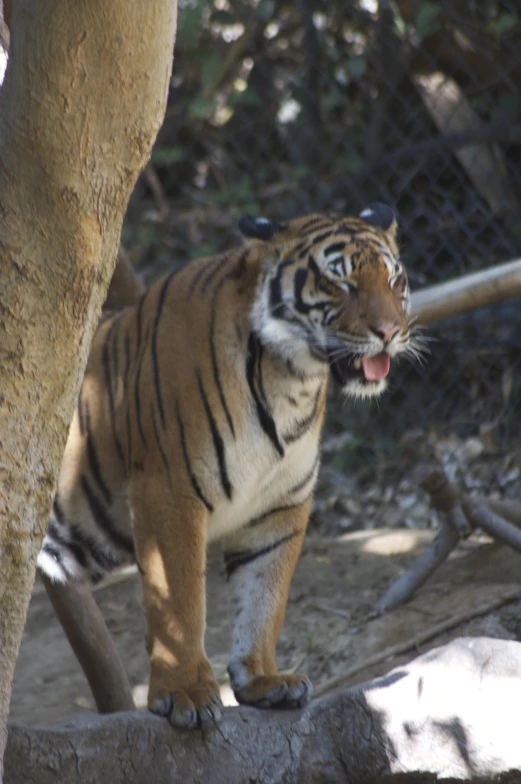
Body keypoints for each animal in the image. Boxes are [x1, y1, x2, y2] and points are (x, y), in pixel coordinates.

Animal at [36, 201, 412, 728]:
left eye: (395, 281)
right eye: (340, 283)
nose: (390, 332)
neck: (291, 379)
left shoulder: (279, 504)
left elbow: (264, 597)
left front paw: (264, 681)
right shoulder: (168, 491)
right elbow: (179, 603)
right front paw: (186, 694)